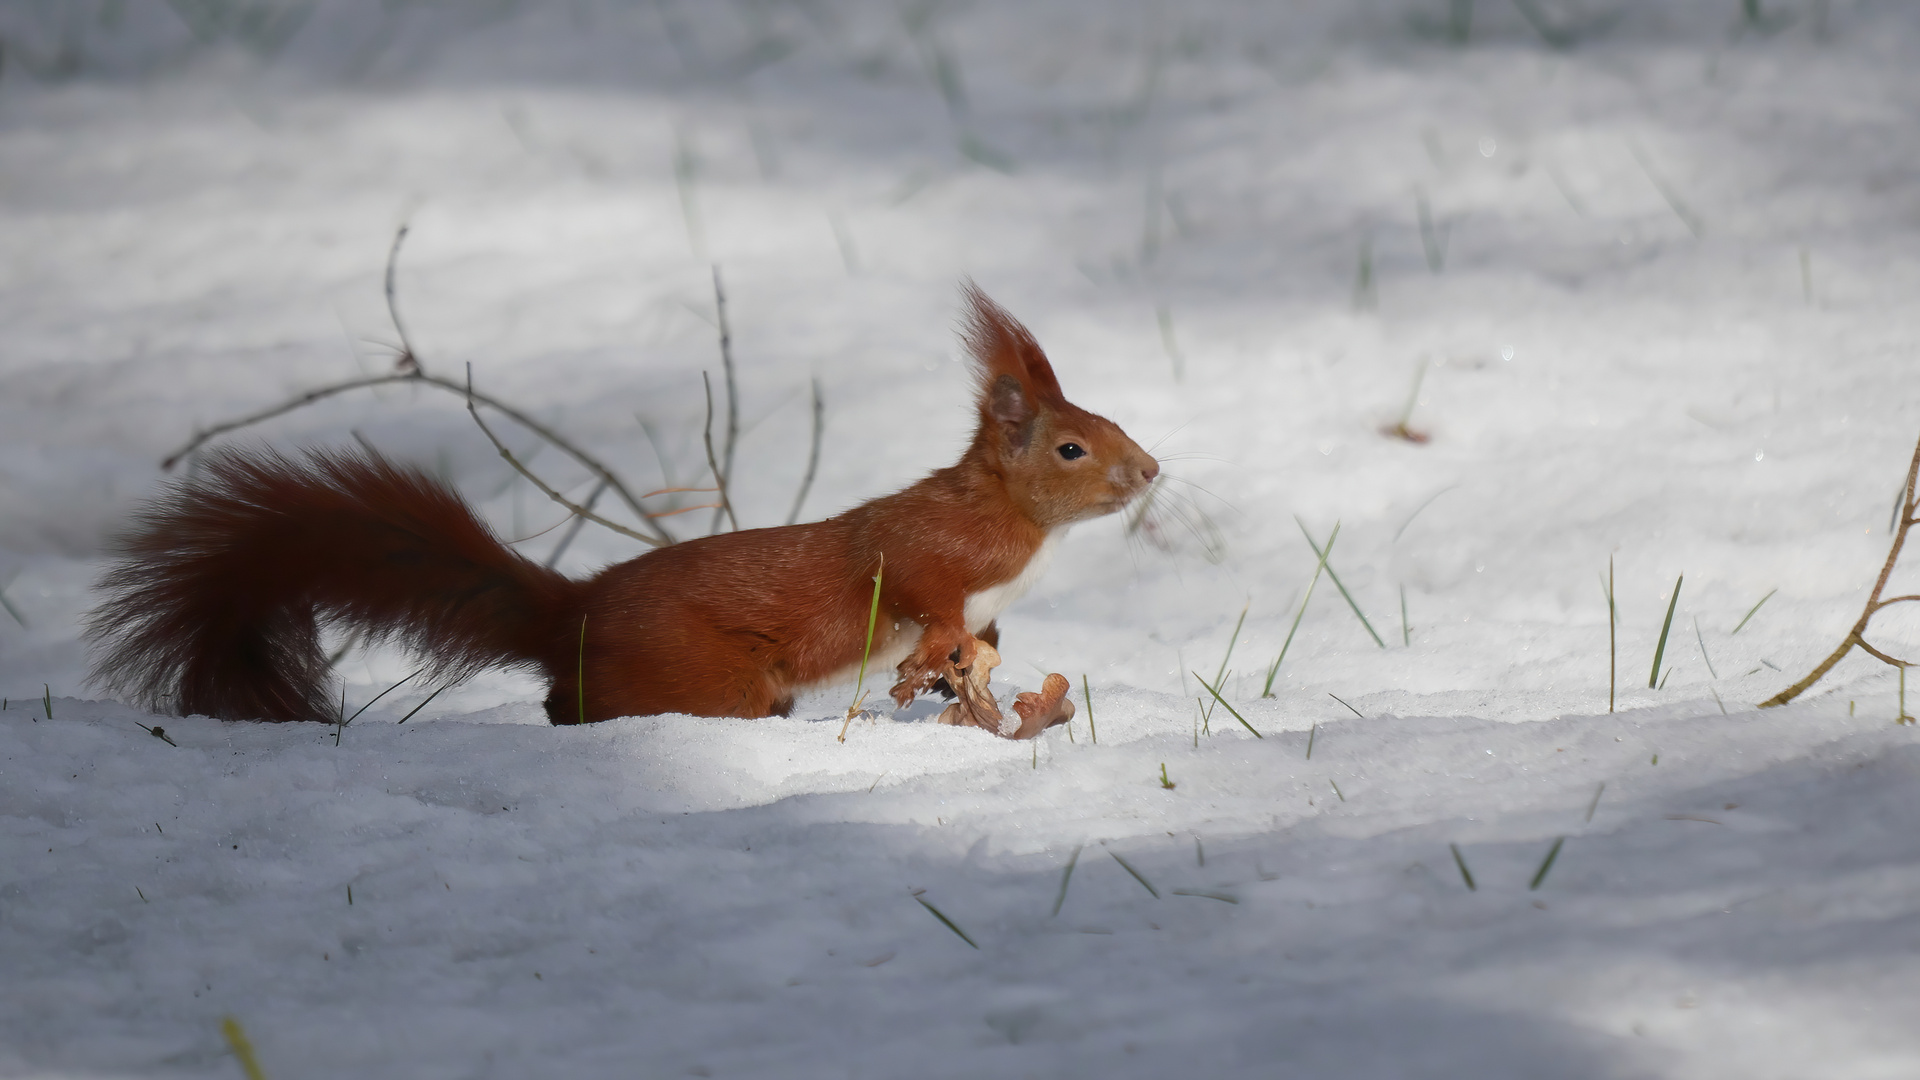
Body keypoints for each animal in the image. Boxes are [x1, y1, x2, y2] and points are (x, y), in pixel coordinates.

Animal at [86, 284, 1152, 730]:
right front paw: (934, 656)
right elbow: (919, 593)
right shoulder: (927, 551)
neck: (1026, 530)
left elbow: (985, 639)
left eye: (1107, 421)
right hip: (708, 679)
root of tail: (573, 614)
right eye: (1072, 446)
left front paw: (970, 674)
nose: (1148, 472)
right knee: (580, 706)